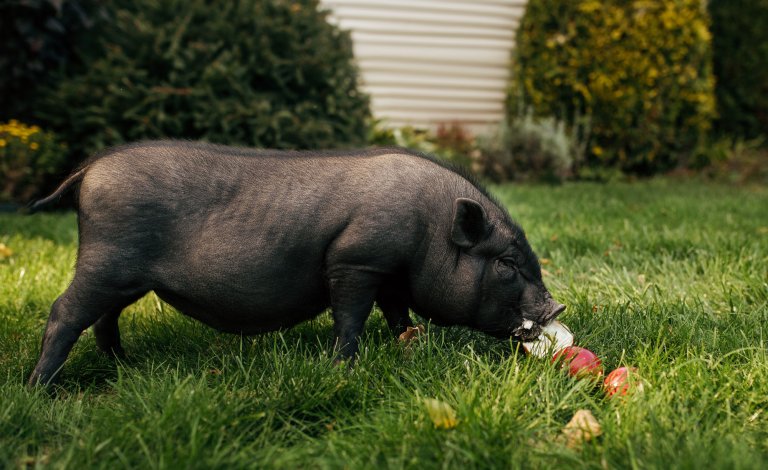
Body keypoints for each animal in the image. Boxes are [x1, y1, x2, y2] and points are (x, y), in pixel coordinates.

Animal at [28, 143, 564, 386]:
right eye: (508, 263)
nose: (557, 308)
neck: (429, 227)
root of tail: (90, 169)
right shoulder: (357, 260)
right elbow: (350, 318)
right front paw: (344, 367)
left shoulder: (391, 275)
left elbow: (398, 313)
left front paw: (411, 346)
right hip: (106, 260)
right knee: (64, 312)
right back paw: (40, 388)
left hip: (124, 276)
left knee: (104, 317)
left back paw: (126, 365)